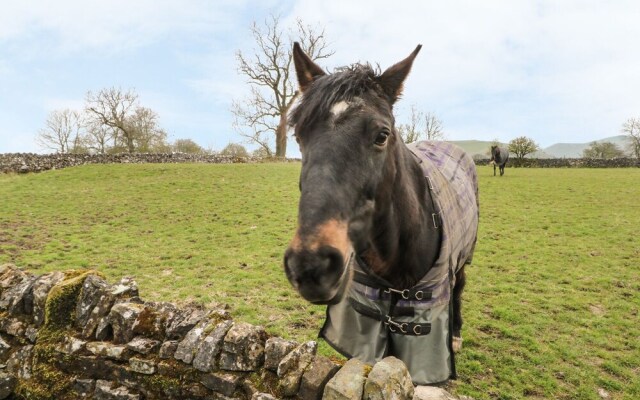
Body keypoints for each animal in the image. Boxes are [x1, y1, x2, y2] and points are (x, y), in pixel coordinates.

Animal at [282, 43, 478, 384]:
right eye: (299, 136)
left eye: (381, 135)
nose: (311, 266)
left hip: (463, 259)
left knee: (458, 289)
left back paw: (455, 335)